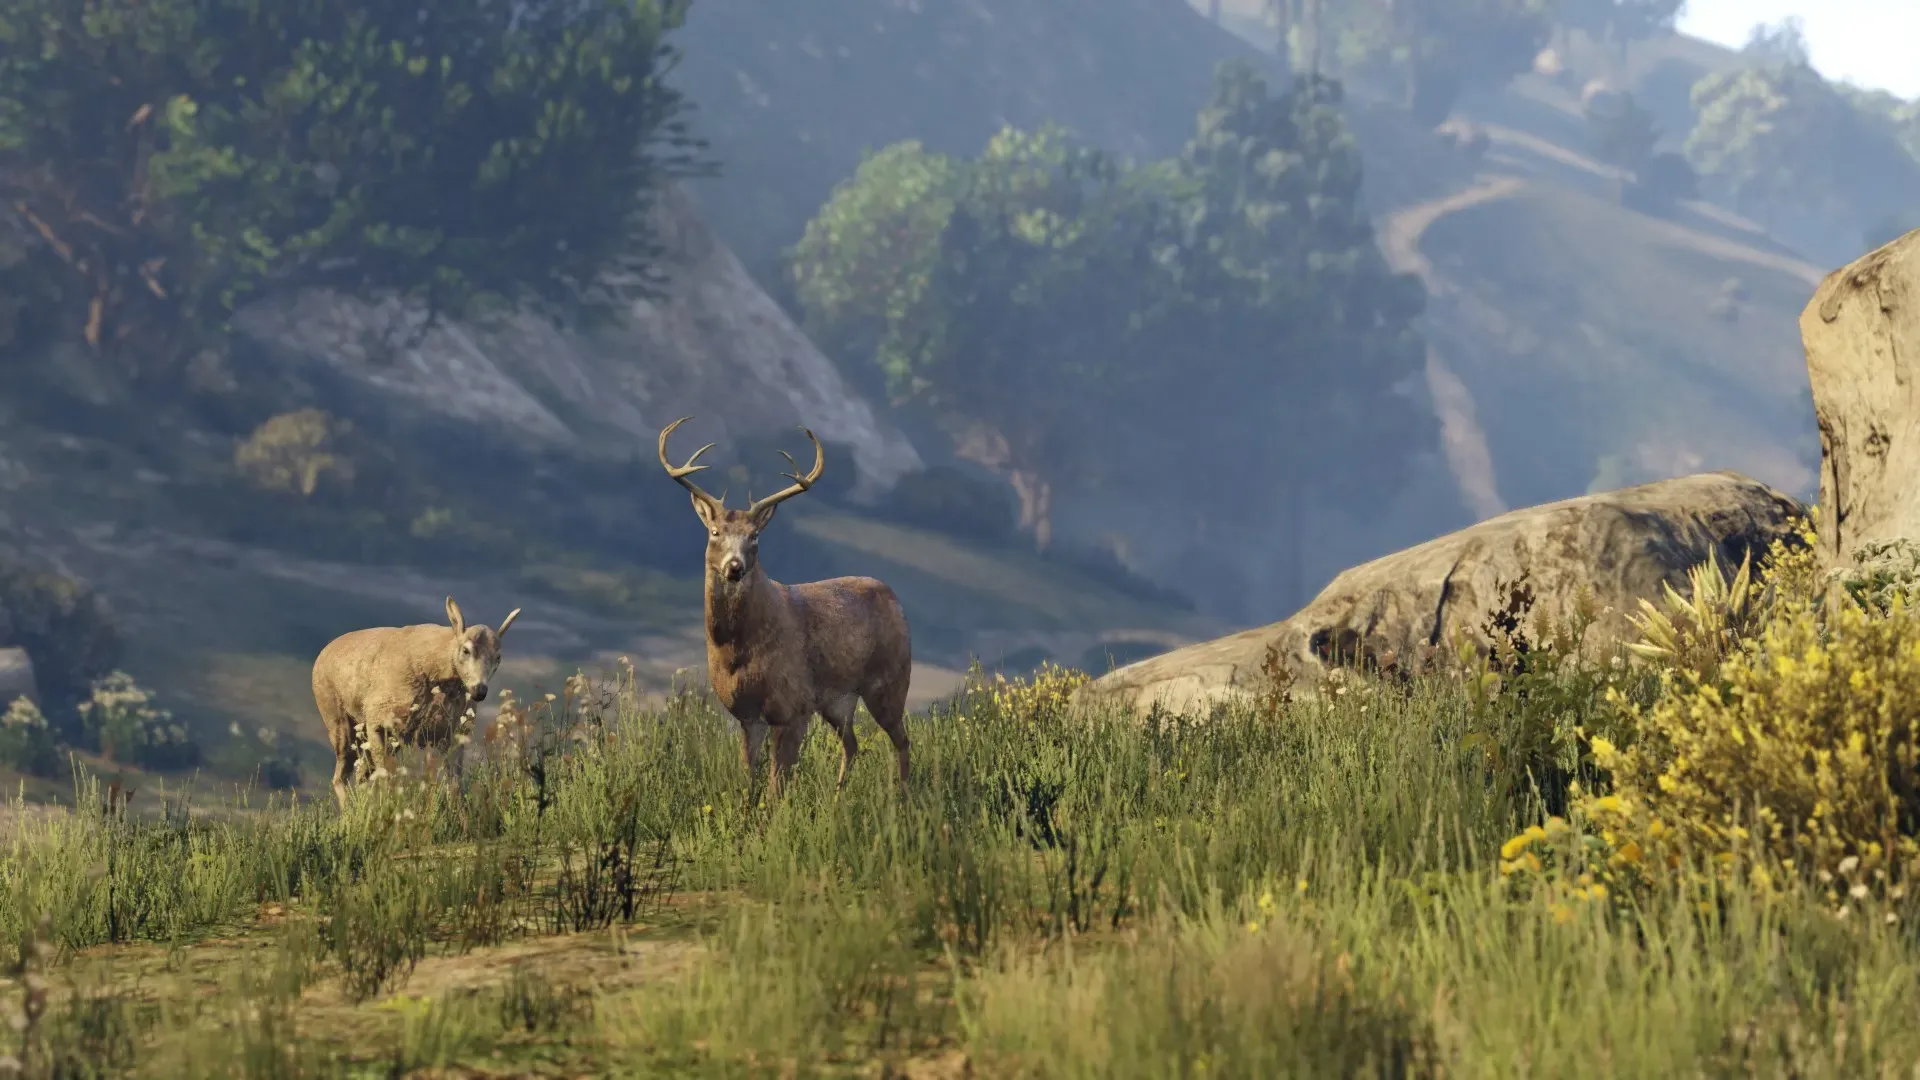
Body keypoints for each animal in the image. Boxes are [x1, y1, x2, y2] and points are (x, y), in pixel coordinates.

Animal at [658, 416, 915, 798]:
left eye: (755, 536)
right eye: (715, 532)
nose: (735, 567)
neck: (738, 651)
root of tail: (896, 599)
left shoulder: (794, 705)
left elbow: (777, 783)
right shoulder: (747, 714)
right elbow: (748, 776)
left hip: (890, 680)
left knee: (902, 741)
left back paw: (904, 797)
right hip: (838, 700)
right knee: (852, 744)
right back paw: (838, 797)